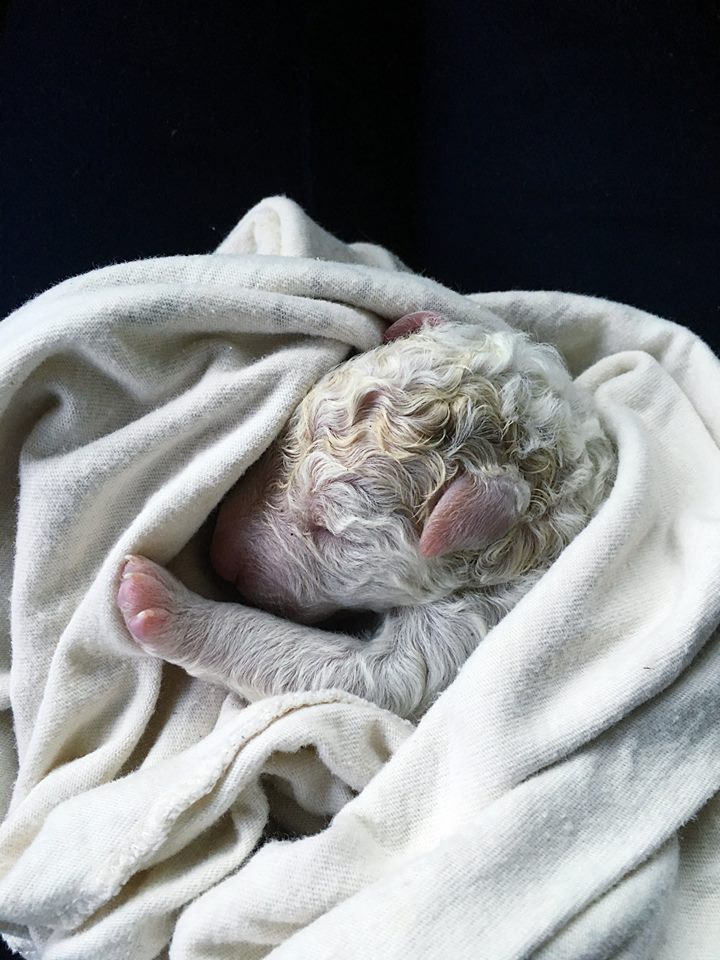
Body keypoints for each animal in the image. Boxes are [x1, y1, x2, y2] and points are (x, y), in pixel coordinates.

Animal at [116, 314, 612, 720]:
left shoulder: (472, 619)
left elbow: (375, 681)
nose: (220, 560)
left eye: (331, 533)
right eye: (277, 447)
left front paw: (158, 602)